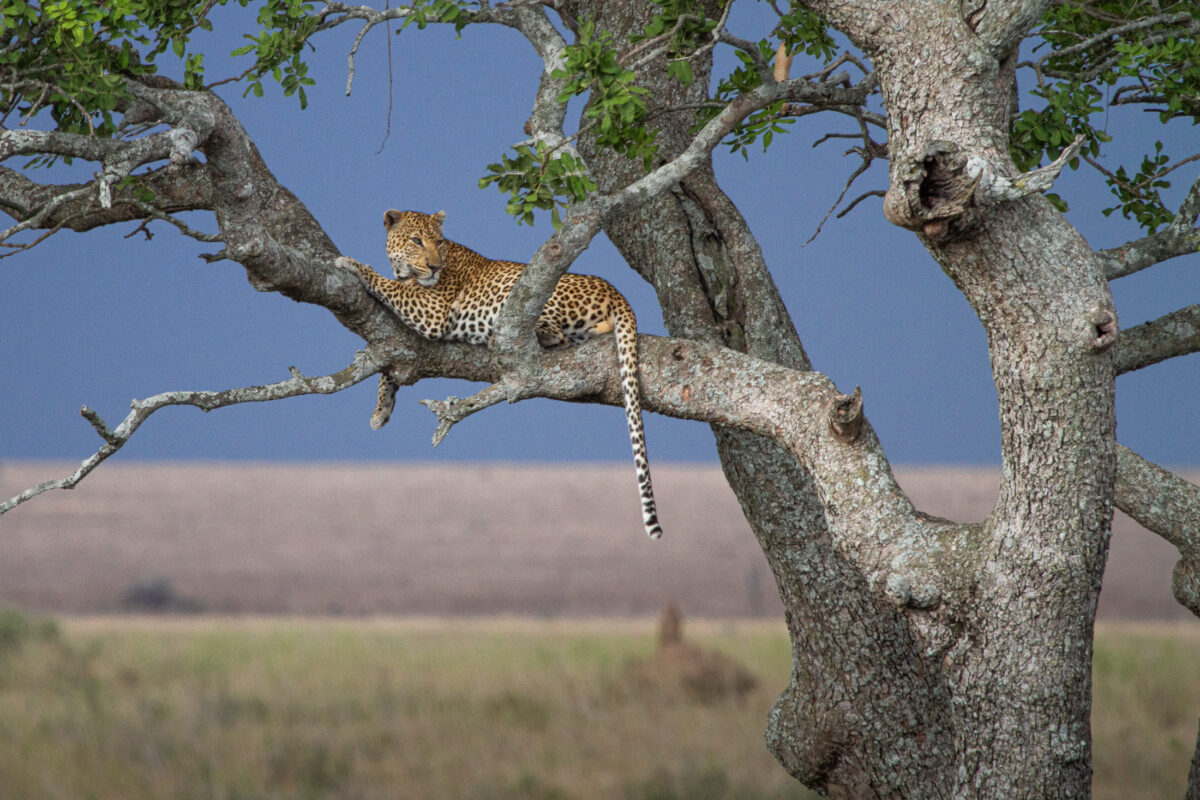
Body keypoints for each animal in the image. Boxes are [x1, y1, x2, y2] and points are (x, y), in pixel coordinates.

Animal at [335, 209, 663, 539]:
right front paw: (381, 410)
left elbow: (389, 286)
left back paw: (503, 336)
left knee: (557, 334)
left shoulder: (431, 312)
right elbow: (392, 361)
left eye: (438, 242)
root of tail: (616, 292)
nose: (435, 266)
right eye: (416, 241)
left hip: (531, 292)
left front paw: (350, 264)